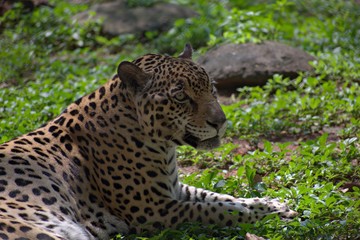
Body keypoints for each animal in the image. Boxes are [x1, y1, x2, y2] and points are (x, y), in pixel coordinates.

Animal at [0, 44, 296, 239]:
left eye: (212, 88)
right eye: (181, 97)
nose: (220, 121)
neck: (164, 146)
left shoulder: (174, 190)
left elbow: (222, 197)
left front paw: (271, 204)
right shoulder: (155, 210)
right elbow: (218, 210)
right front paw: (271, 214)